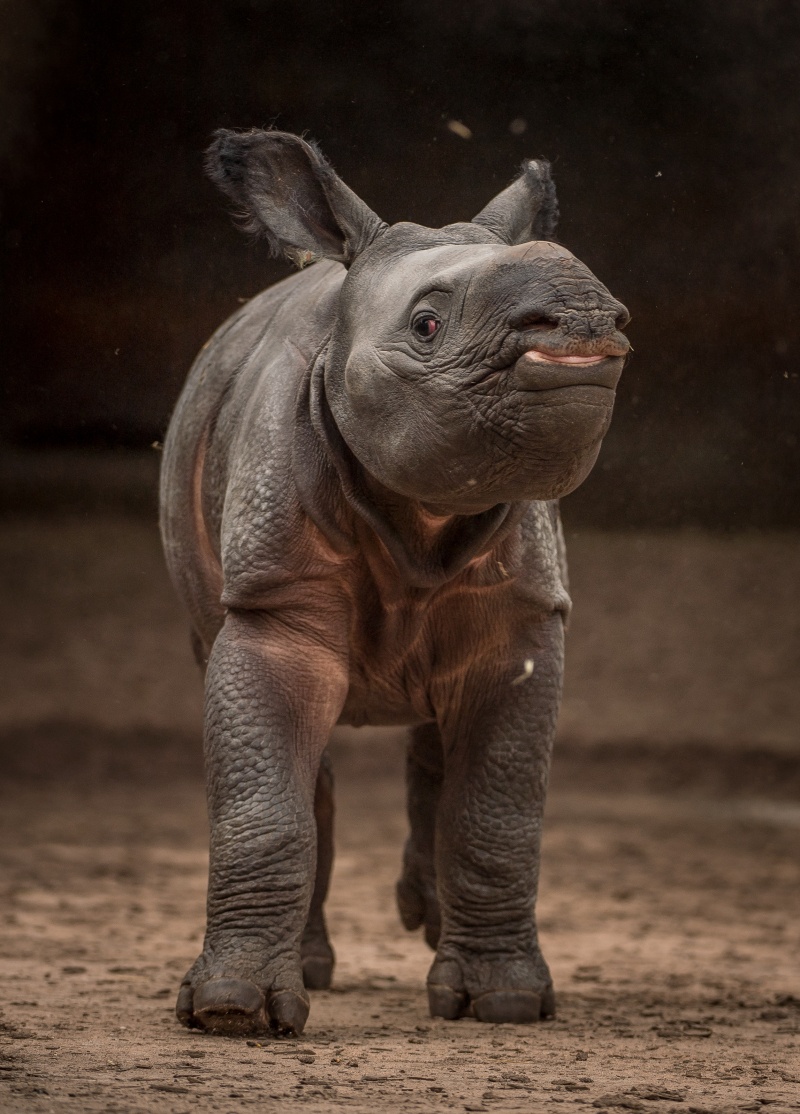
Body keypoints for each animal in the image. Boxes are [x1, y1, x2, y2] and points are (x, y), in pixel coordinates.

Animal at [159, 129, 629, 1037]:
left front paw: (503, 1002)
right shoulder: (271, 600)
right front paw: (234, 1011)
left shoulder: (524, 617)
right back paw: (312, 969)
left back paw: (434, 927)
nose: (587, 314)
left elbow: (497, 810)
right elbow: (264, 797)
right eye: (427, 322)